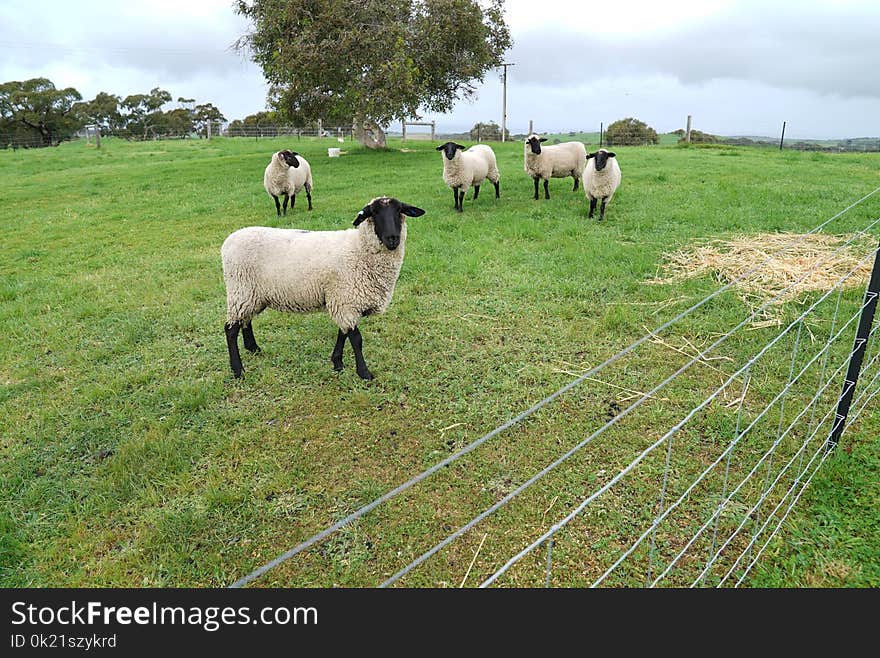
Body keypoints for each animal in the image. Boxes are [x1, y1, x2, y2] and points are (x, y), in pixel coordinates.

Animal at [222, 195, 424, 380]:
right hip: (240, 290)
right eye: (374, 213)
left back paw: (253, 348)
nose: (392, 239)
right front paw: (364, 373)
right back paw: (238, 370)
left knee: (245, 320)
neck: (359, 248)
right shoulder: (346, 300)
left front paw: (337, 363)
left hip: (252, 295)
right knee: (231, 329)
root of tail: (229, 240)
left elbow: (343, 333)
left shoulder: (342, 300)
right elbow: (356, 339)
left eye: (399, 211)